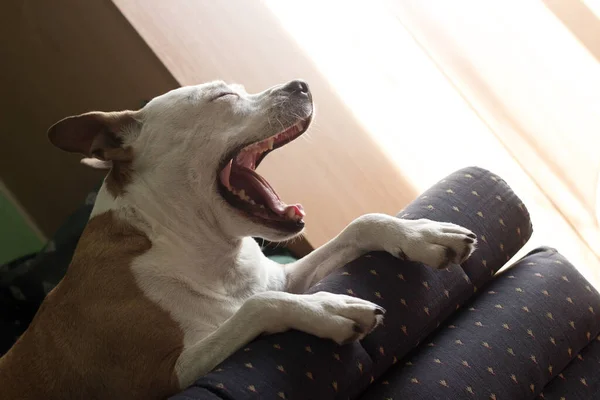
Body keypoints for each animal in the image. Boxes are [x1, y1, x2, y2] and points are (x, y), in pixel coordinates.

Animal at [1, 79, 478, 398]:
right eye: (223, 98)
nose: (301, 83)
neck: (206, 252)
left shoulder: (284, 278)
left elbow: (359, 224)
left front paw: (418, 232)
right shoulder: (161, 377)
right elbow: (258, 306)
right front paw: (328, 308)